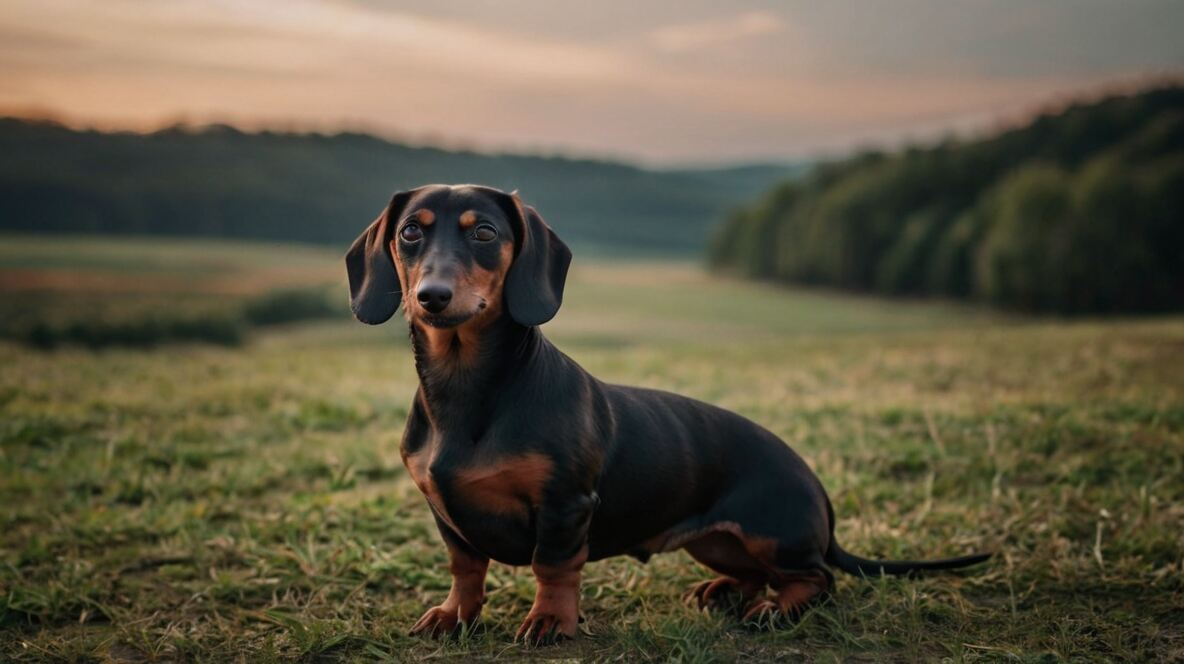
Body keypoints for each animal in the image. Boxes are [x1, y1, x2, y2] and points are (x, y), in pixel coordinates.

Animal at [345, 183, 989, 643]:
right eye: (410, 232)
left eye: (483, 231)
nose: (432, 297)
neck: (471, 390)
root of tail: (817, 488)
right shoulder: (444, 510)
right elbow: (465, 567)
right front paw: (455, 616)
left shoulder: (566, 504)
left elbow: (553, 567)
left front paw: (551, 621)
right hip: (716, 541)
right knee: (755, 572)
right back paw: (722, 591)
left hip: (774, 534)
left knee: (816, 579)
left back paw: (774, 610)